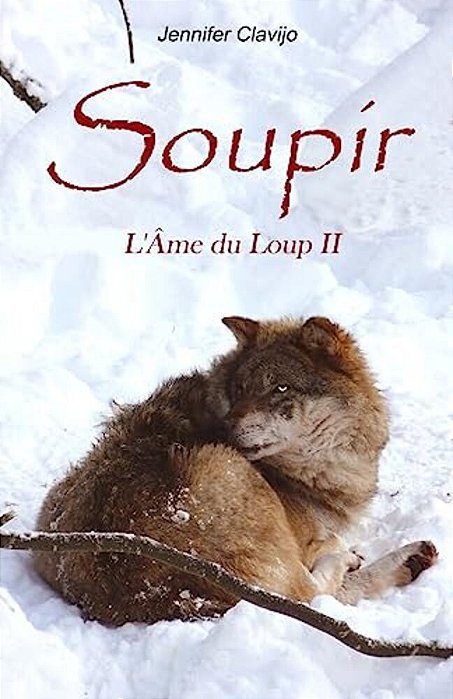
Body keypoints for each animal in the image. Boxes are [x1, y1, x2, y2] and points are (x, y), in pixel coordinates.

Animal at [34, 316, 437, 625]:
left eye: (280, 388)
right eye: (240, 389)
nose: (224, 428)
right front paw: (344, 550)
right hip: (229, 470)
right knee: (310, 596)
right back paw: (398, 557)